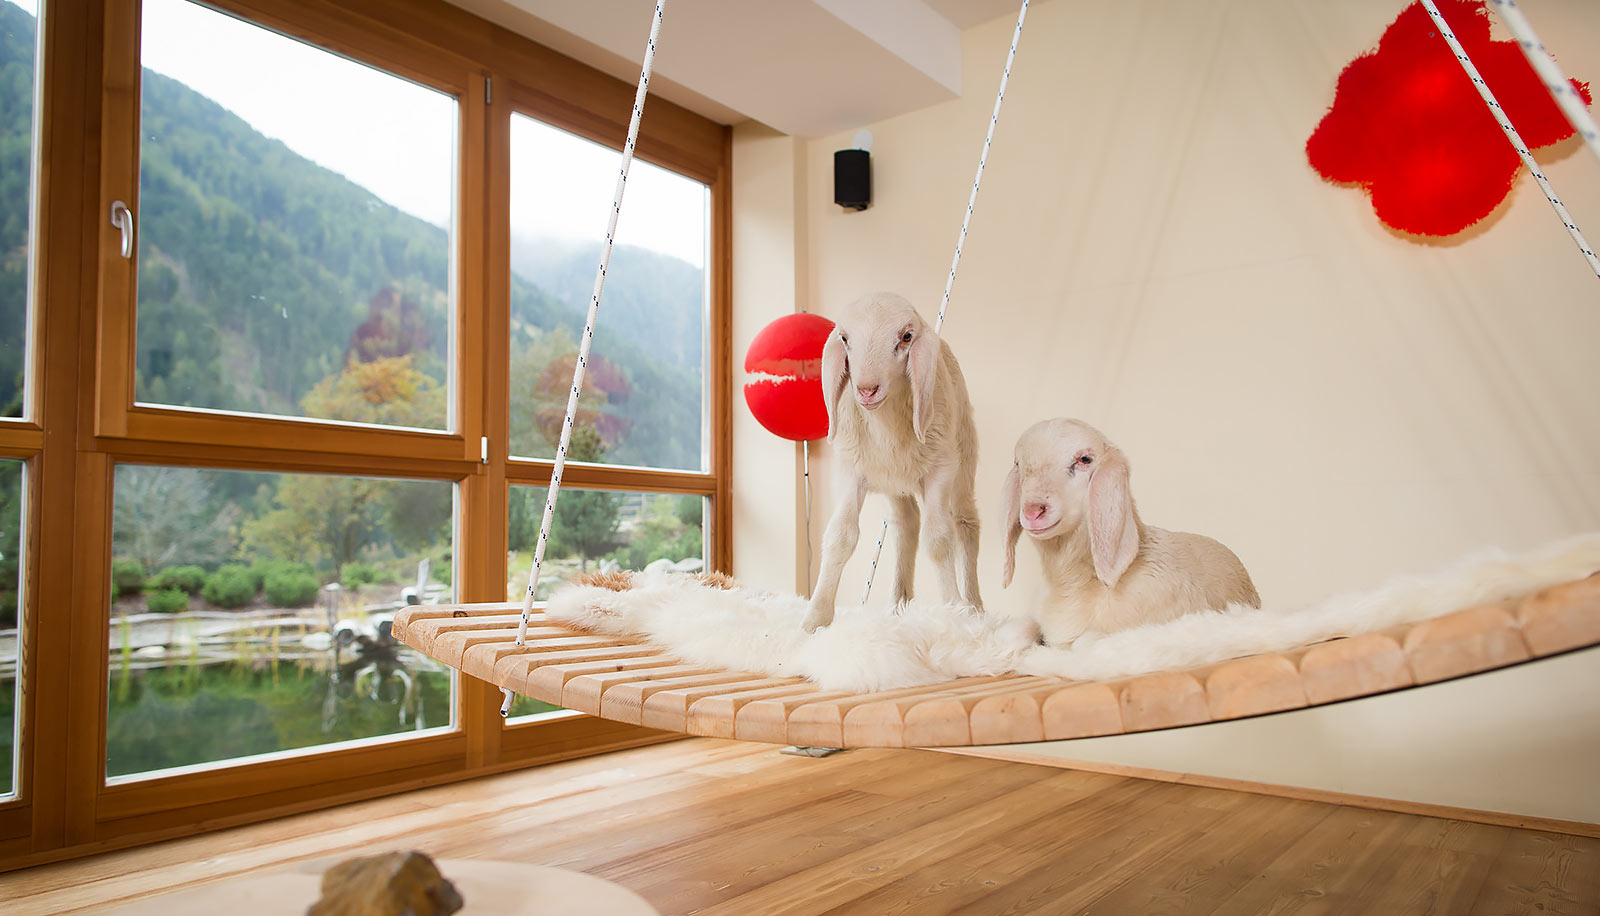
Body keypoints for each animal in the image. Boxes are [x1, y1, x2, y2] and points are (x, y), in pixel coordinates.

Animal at [806, 291, 979, 630]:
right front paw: (816, 617)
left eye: (906, 337)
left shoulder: (940, 468)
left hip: (963, 457)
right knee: (906, 522)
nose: (866, 390)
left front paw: (954, 611)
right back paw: (899, 603)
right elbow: (840, 535)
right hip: (892, 481)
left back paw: (974, 607)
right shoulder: (850, 469)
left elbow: (939, 539)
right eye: (844, 338)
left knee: (965, 524)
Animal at [998, 416, 1260, 643]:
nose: (1033, 511)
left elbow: (1082, 642)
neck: (1070, 583)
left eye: (1085, 459)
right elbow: (1014, 630)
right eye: (1018, 464)